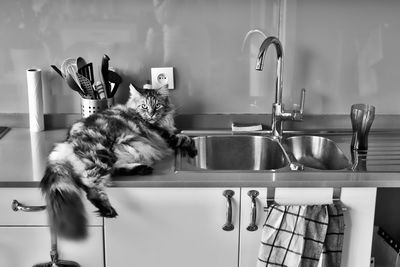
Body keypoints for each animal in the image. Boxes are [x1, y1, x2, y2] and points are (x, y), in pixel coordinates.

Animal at [40, 84, 197, 241]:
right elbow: (186, 138)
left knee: (114, 170)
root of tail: (66, 143)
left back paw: (142, 169)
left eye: (157, 105)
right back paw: (107, 209)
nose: (151, 114)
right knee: (89, 185)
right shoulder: (166, 137)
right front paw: (193, 150)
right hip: (101, 155)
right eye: (144, 106)